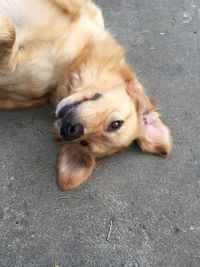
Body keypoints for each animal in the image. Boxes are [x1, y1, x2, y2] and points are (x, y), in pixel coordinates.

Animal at [0, 1, 172, 192]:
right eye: (116, 124)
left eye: (84, 144)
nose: (70, 131)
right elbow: (11, 31)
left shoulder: (14, 70)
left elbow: (9, 36)